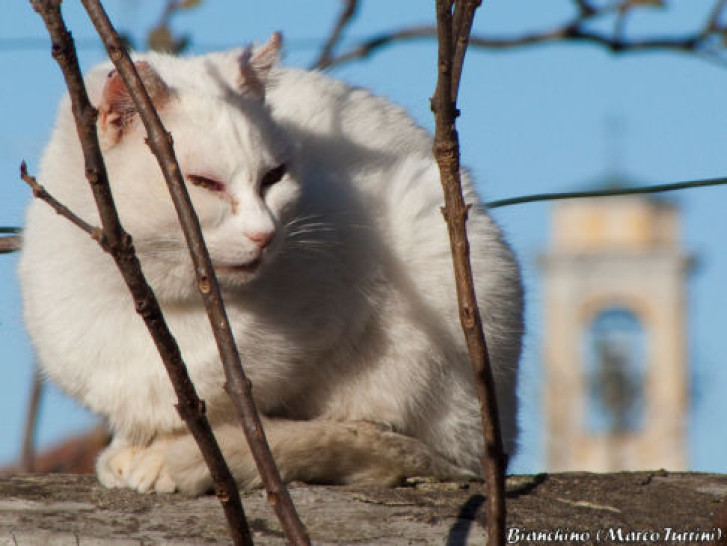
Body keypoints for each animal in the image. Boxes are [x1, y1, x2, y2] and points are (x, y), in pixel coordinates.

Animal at [18, 34, 524, 492]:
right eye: (204, 183)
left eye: (273, 177)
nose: (264, 233)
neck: (151, 305)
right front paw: (132, 449)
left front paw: (172, 455)